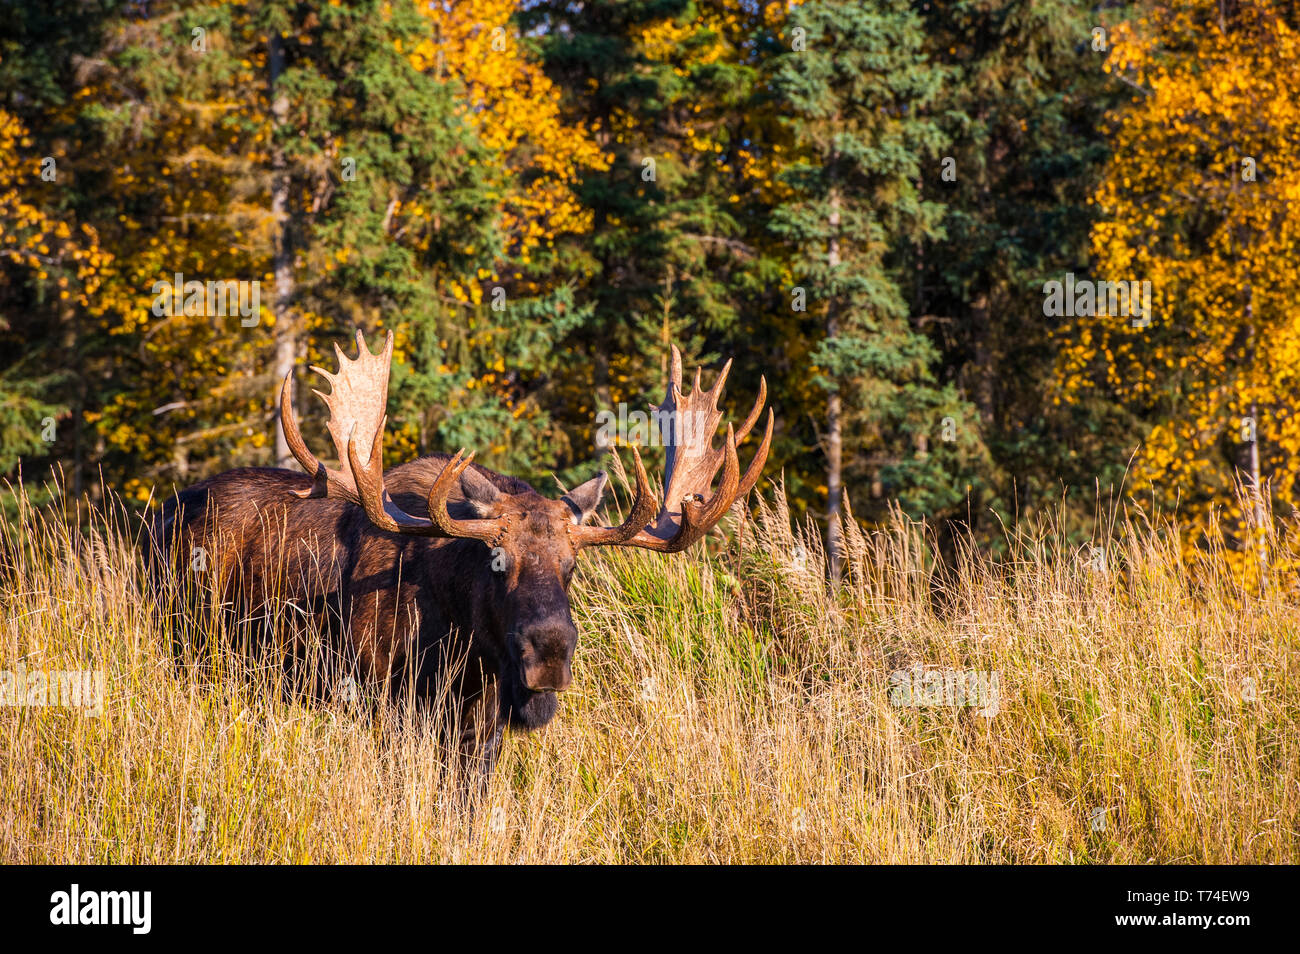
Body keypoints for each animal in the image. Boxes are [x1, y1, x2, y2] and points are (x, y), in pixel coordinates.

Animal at [149, 332, 769, 779]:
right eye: (496, 561)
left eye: (572, 569)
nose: (549, 653)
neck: (467, 656)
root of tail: (167, 510)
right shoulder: (384, 705)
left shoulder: (480, 730)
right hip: (192, 650)